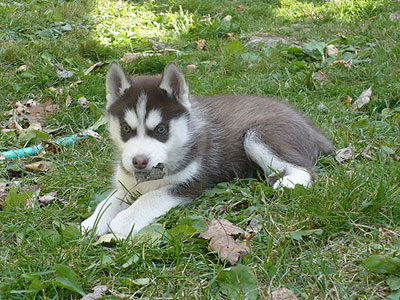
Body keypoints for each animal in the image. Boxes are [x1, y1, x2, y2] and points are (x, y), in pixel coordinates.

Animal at [79, 62, 332, 238]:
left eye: (161, 129)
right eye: (125, 128)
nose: (139, 161)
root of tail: (306, 122)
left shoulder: (192, 182)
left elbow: (150, 197)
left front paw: (123, 222)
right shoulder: (127, 183)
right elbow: (110, 200)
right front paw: (94, 221)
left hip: (258, 136)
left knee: (307, 170)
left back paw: (287, 182)